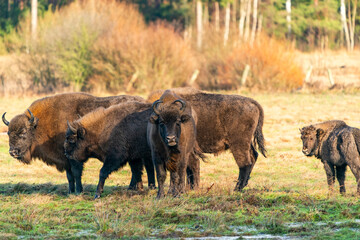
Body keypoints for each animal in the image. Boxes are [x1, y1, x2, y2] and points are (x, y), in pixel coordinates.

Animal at [1, 93, 146, 194]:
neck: (40, 124)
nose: (12, 152)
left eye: (23, 132)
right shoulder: (65, 159)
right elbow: (69, 176)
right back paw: (132, 188)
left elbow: (76, 173)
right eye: (8, 133)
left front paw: (78, 191)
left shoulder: (74, 158)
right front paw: (70, 191)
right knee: (136, 168)